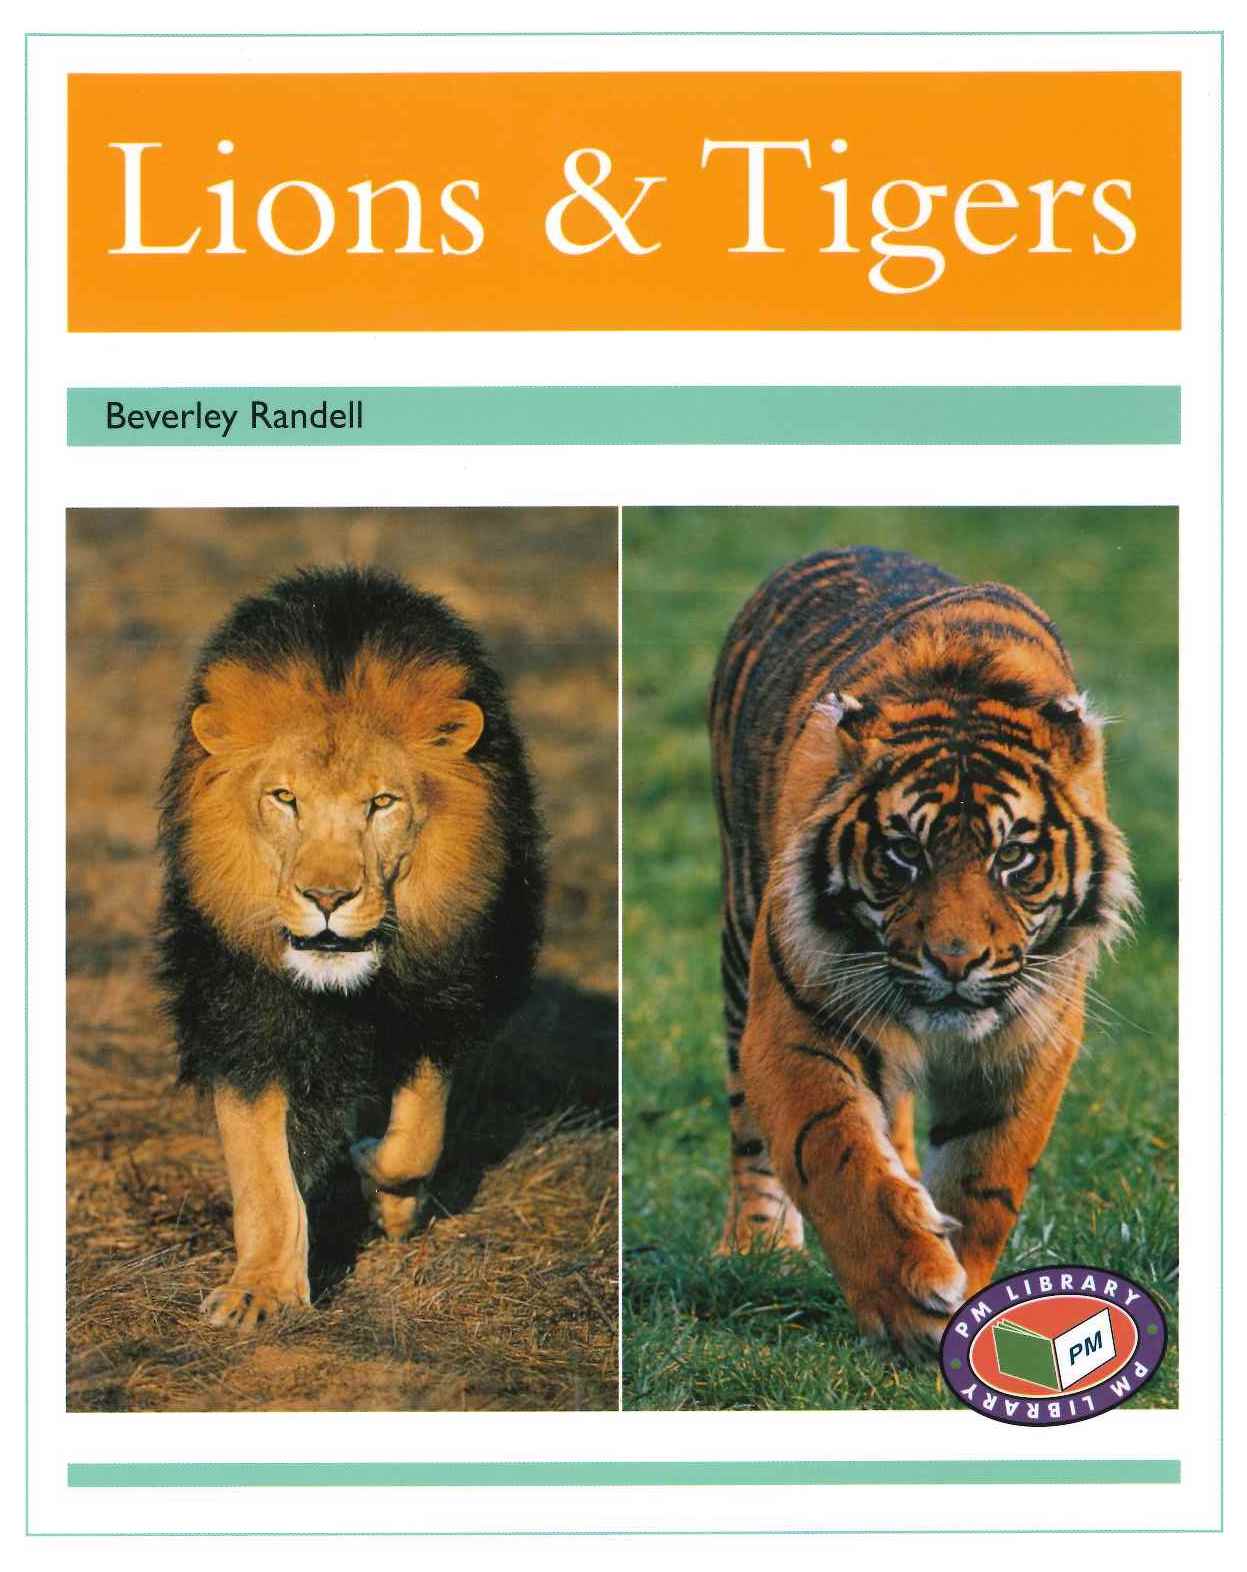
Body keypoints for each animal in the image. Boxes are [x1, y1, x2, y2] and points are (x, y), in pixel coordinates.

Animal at [157, 565, 545, 1329]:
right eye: (284, 799)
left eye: (382, 803)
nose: (328, 898)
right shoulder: (245, 1018)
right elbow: (263, 1175)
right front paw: (261, 1291)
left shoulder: (438, 998)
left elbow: (417, 1137)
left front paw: (382, 1190)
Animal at [710, 546, 1135, 1356]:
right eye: (905, 852)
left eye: (1012, 856)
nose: (955, 961)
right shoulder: (797, 1023)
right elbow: (832, 1150)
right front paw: (907, 1299)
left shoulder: (1030, 1039)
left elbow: (984, 1178)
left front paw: (963, 1294)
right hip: (741, 936)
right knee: (752, 1132)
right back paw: (756, 1248)